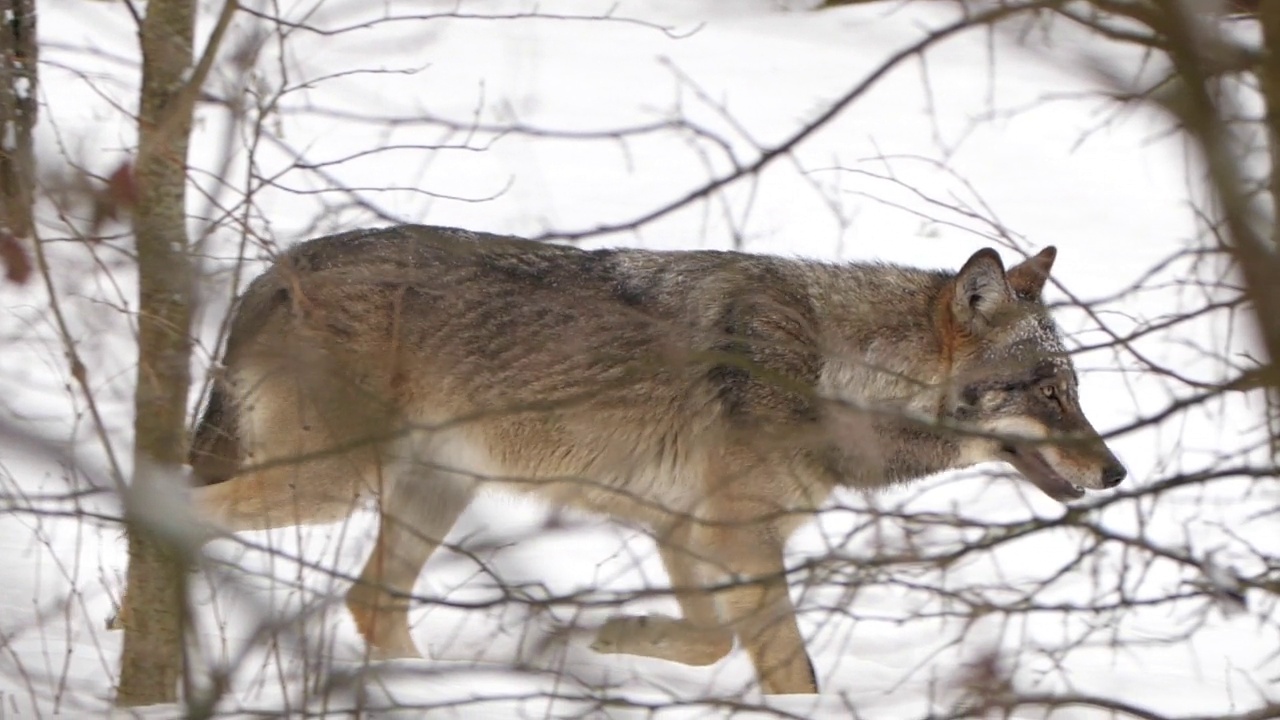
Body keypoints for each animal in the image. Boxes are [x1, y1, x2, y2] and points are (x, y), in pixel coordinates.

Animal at [165, 225, 1126, 696]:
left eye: (1073, 390)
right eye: (1046, 392)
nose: (1116, 473)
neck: (831, 369)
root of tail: (273, 270)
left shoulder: (686, 530)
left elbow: (709, 639)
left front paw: (617, 635)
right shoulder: (736, 537)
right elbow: (787, 665)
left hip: (434, 489)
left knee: (371, 604)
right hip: (334, 485)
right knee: (188, 514)